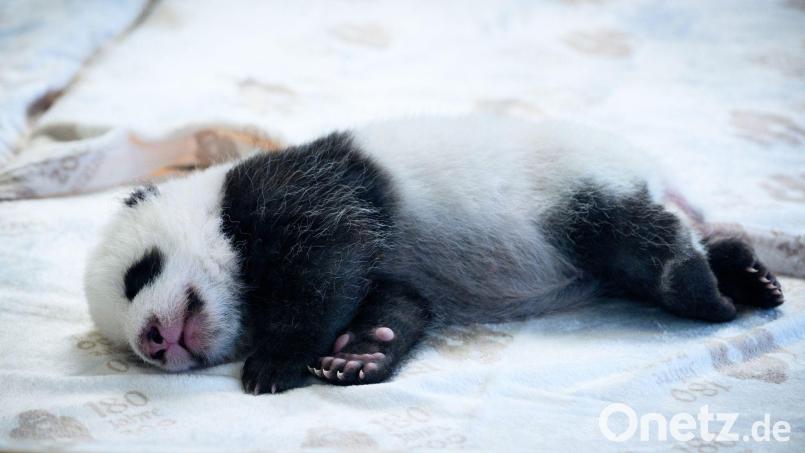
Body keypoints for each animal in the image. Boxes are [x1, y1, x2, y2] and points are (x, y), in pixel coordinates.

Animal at [84, 115, 784, 394]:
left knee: (633, 233)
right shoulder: (393, 273)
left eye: (137, 275)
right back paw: (750, 276)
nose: (151, 342)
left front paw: (275, 362)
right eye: (125, 349)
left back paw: (702, 287)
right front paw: (359, 354)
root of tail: (658, 172)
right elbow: (398, 302)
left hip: (572, 184)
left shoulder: (297, 191)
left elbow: (333, 254)